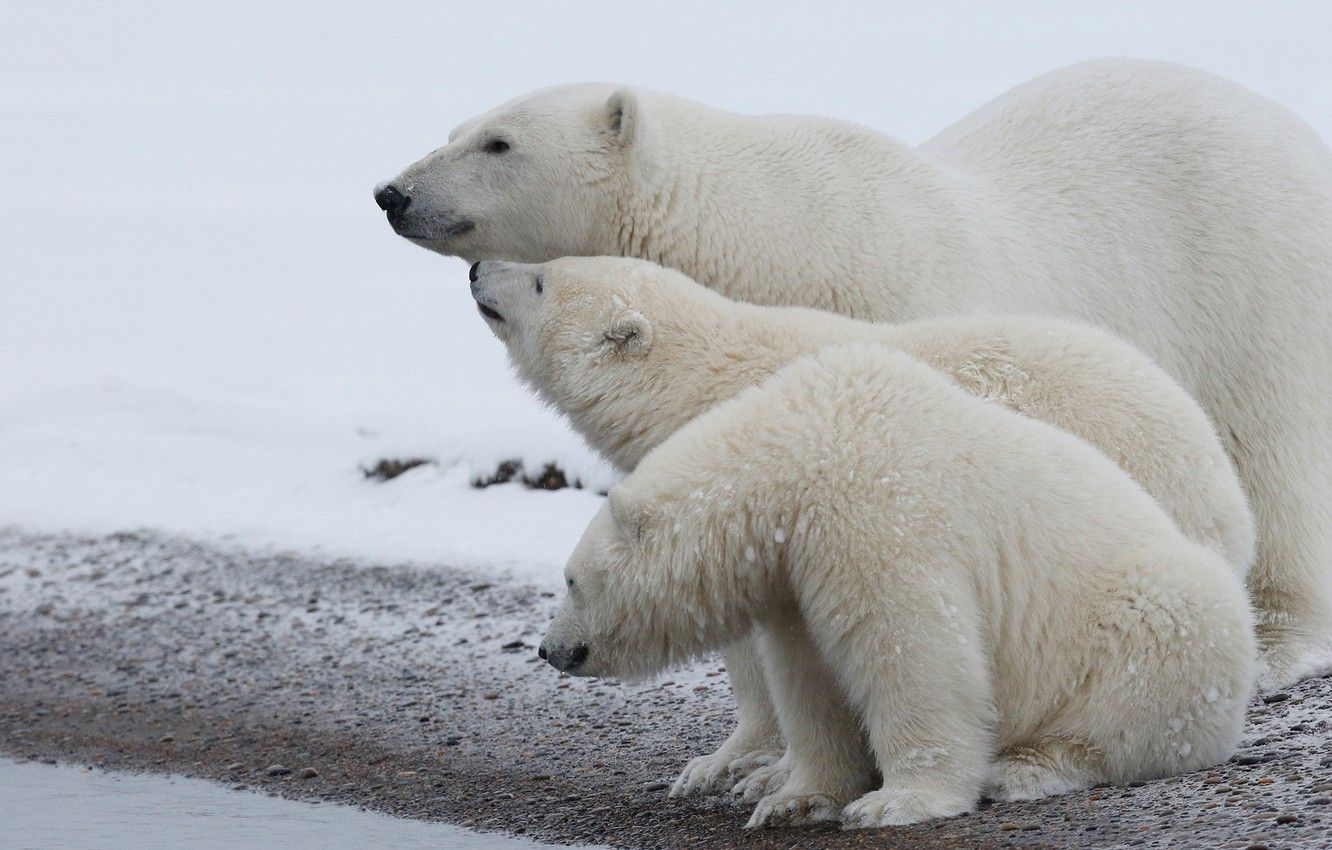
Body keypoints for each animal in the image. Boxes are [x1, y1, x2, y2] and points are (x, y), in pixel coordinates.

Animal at [378, 58, 1332, 687]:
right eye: (457, 128)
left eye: (499, 142)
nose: (392, 193)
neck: (763, 233)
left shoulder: (890, 297)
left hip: (1256, 277)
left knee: (1273, 450)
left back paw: (1277, 637)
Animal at [476, 258, 1257, 799]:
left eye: (542, 279)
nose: (480, 269)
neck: (704, 382)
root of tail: (1218, 476)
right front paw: (716, 765)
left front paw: (758, 770)